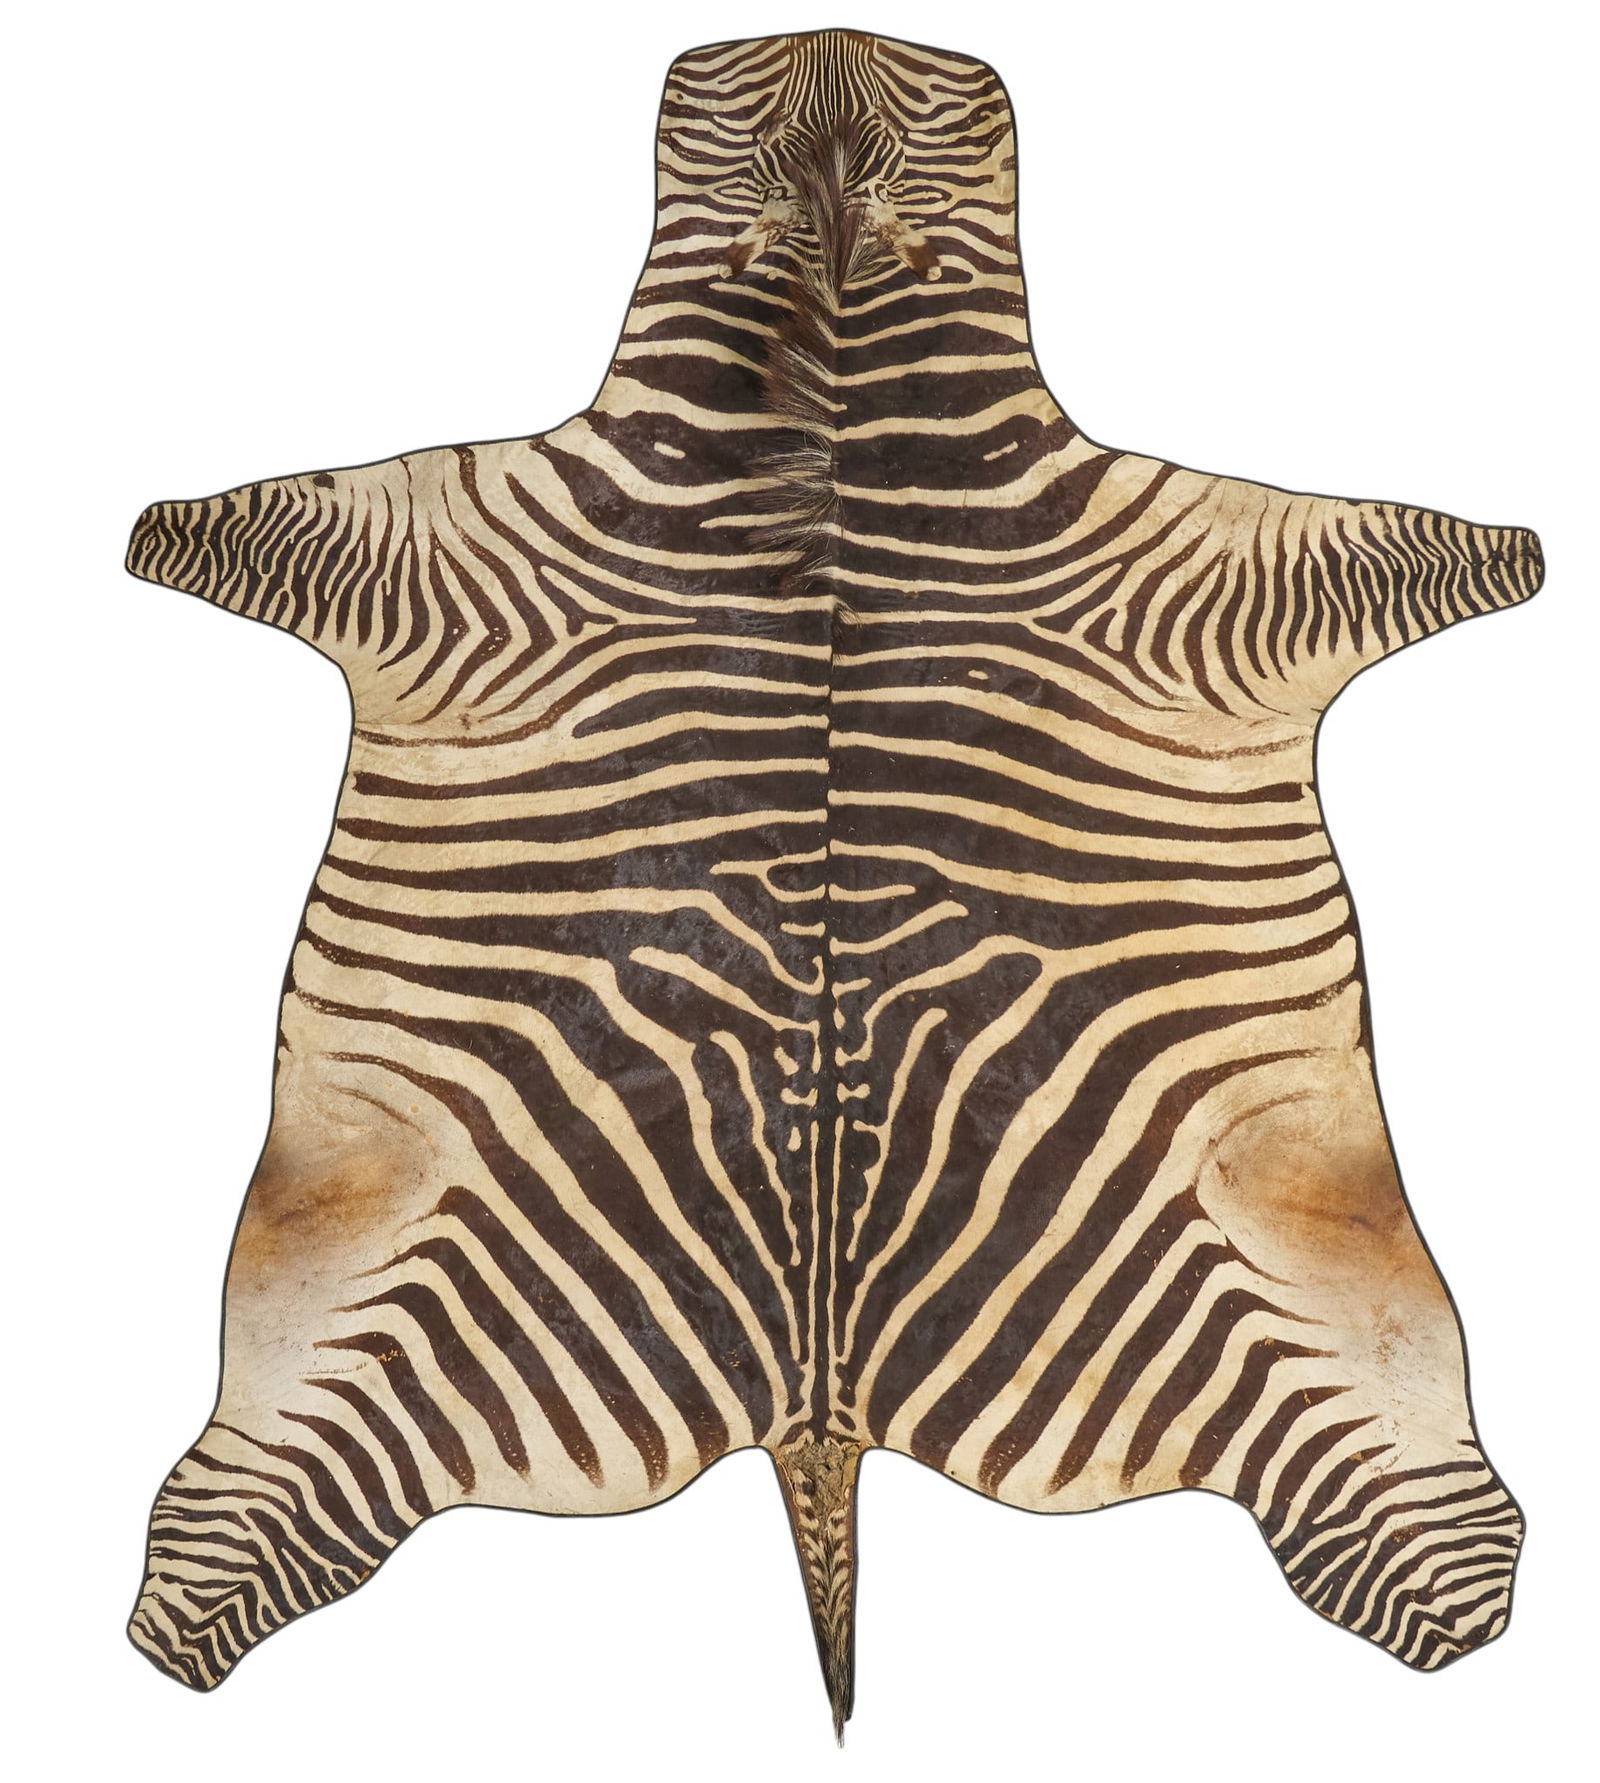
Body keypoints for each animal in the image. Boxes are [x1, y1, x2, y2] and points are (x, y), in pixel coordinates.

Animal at [125, 29, 1541, 1732]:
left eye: (936, 102)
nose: (835, 41)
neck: (836, 409)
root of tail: (821, 1413)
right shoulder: (444, 565)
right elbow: (236, 525)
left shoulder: (1209, 581)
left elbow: (1426, 551)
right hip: (370, 1290)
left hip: (1281, 1268)